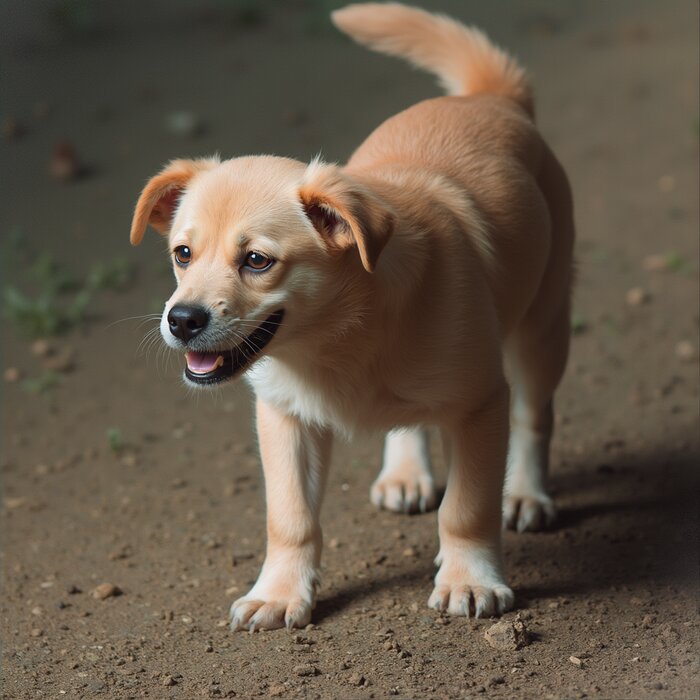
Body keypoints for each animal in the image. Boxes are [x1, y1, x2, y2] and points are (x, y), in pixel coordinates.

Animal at [130, 1, 576, 636]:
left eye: (257, 261)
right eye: (182, 254)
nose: (182, 320)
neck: (336, 338)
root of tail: (488, 97)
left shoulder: (481, 403)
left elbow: (467, 508)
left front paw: (469, 580)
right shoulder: (284, 417)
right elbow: (290, 518)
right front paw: (278, 593)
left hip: (544, 322)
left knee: (536, 415)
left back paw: (527, 495)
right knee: (410, 420)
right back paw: (406, 473)